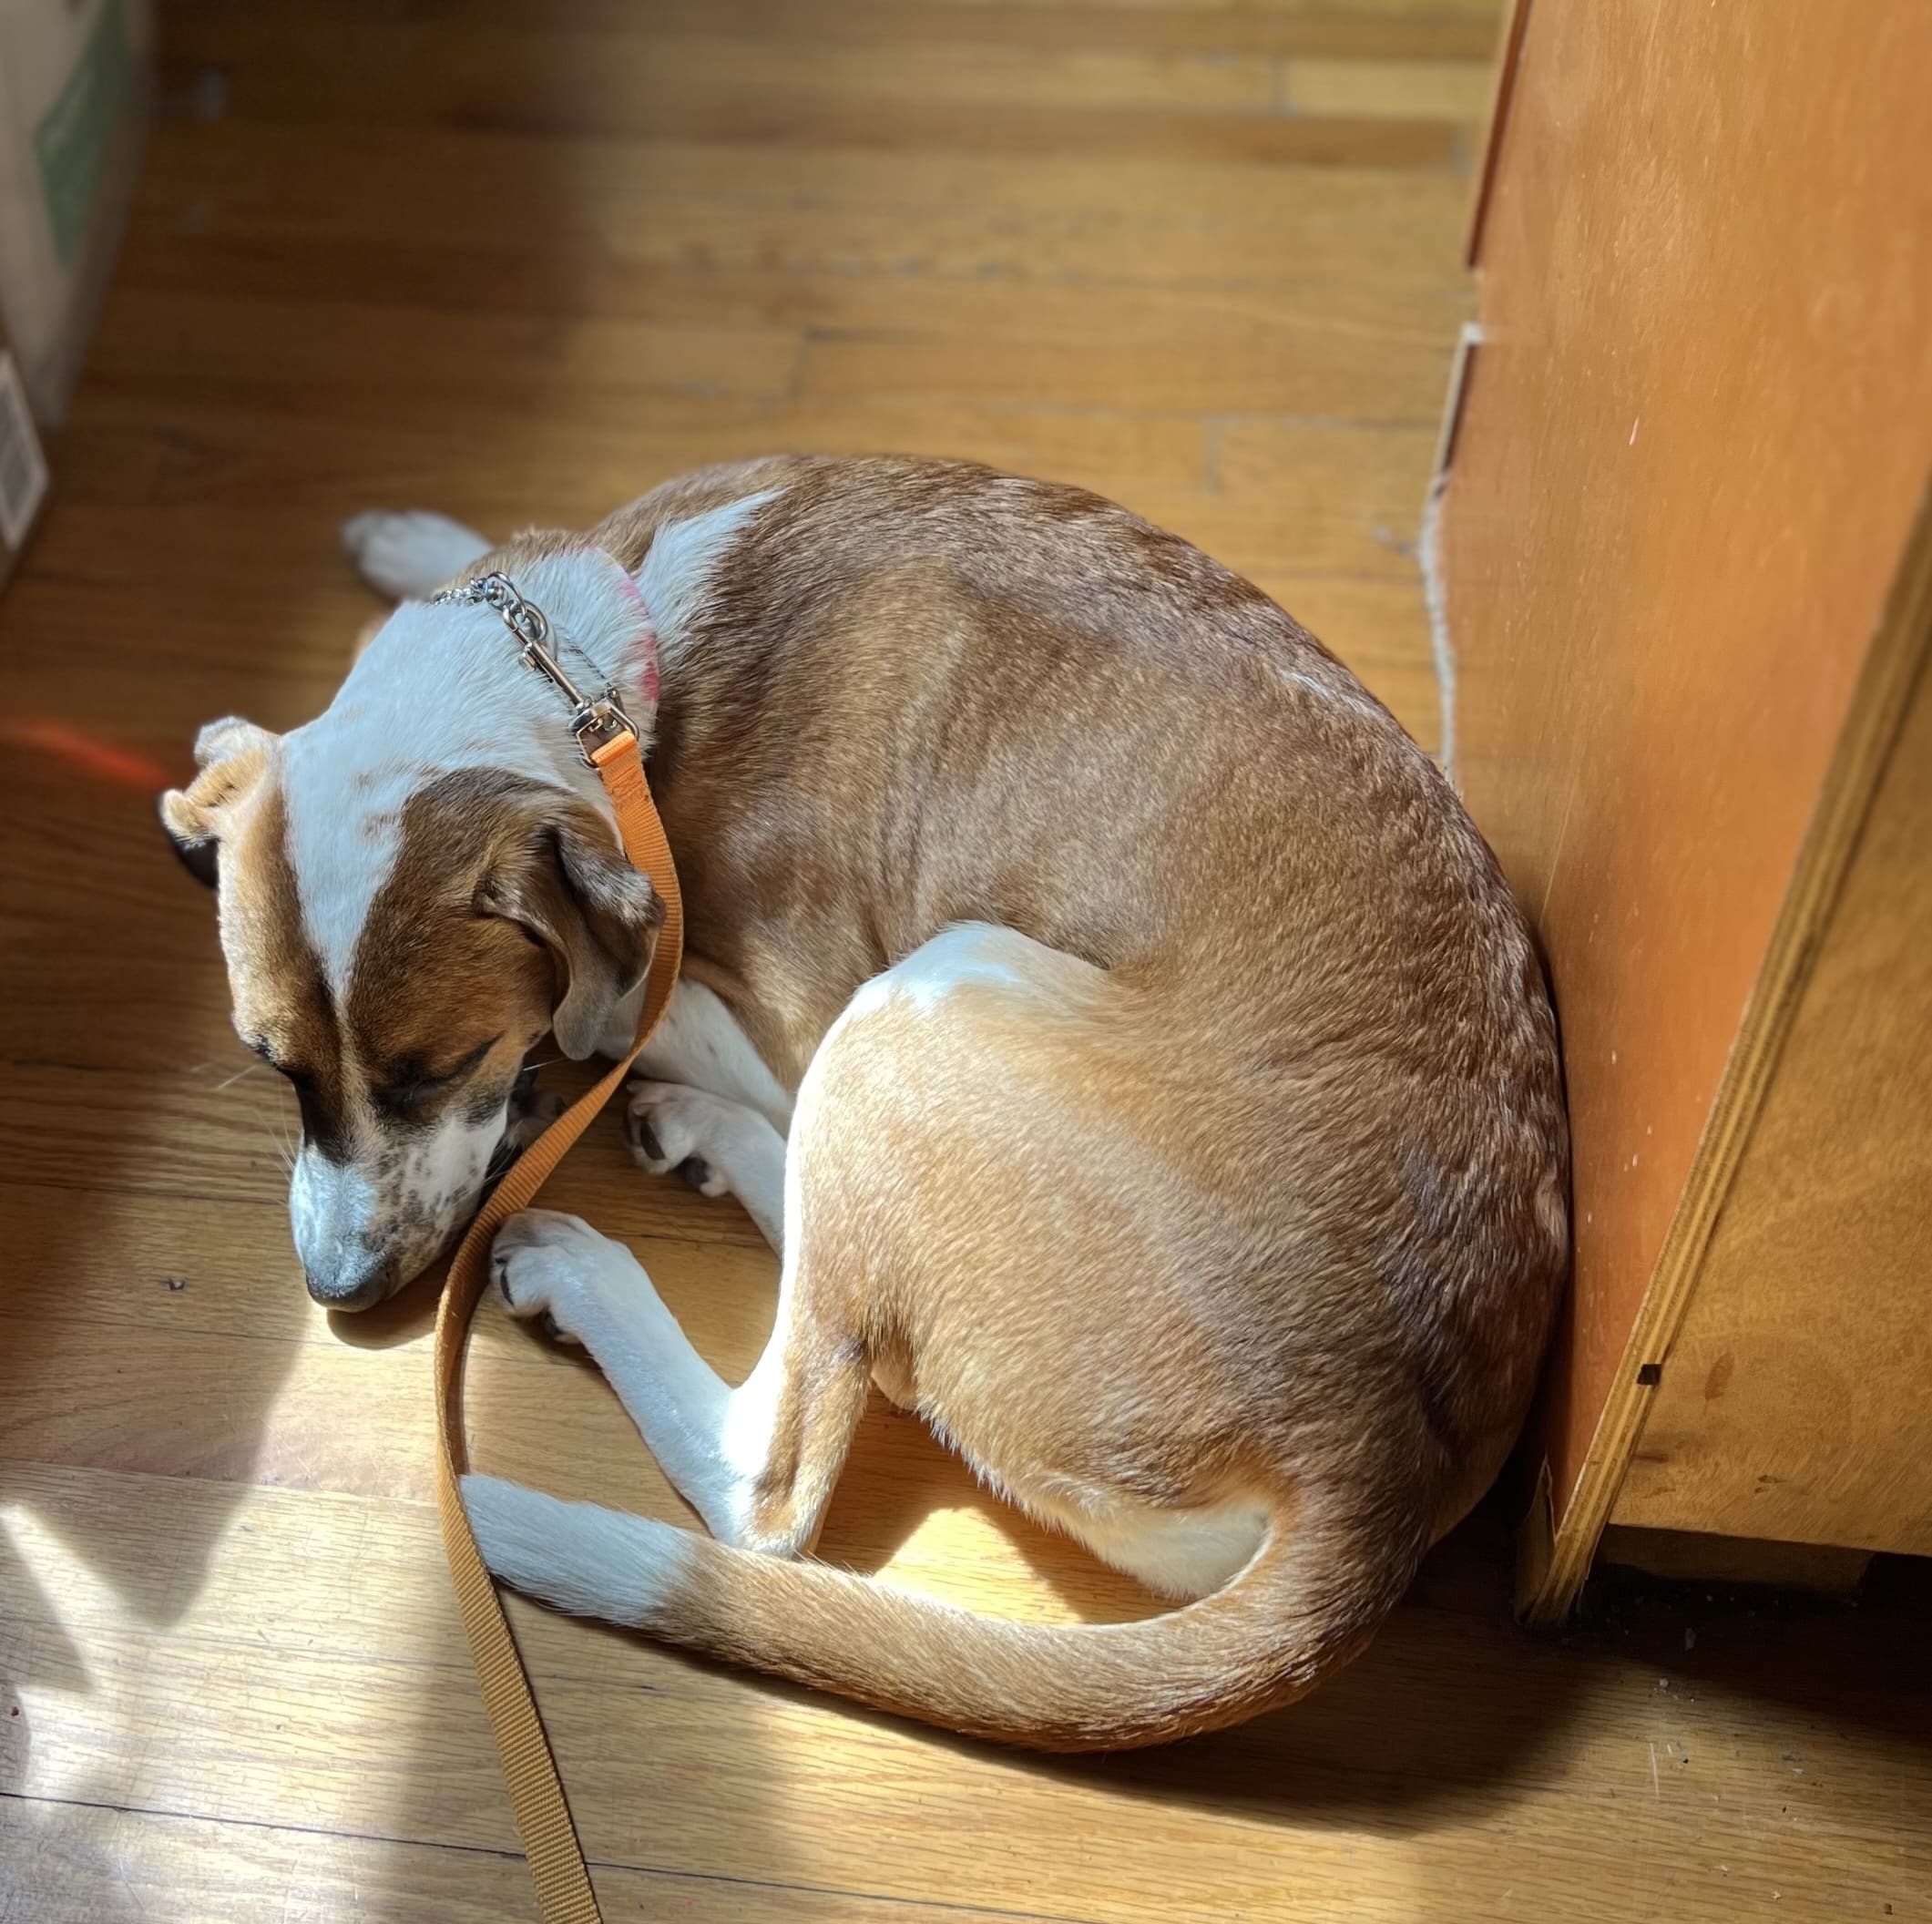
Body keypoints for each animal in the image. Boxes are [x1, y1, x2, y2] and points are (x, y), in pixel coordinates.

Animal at [166, 457, 1569, 1754]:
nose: (339, 1293)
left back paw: (594, 1257)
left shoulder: (766, 1014)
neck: (595, 674)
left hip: (911, 1011)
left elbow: (600, 1019)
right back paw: (706, 1147)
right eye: (273, 1067)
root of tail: (1378, 1468)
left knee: (775, 1476)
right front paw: (400, 547)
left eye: (438, 1068)